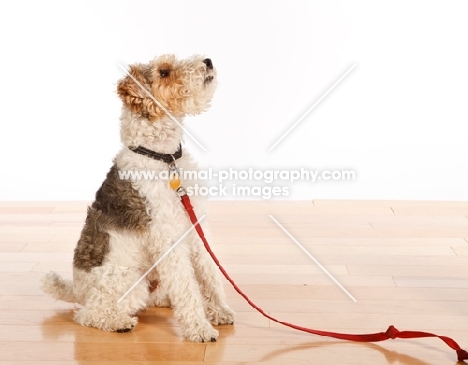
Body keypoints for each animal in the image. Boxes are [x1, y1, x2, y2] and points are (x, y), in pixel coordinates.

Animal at [41, 54, 234, 342]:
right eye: (164, 72)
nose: (208, 61)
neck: (163, 157)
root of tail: (75, 288)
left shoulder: (196, 226)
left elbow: (210, 273)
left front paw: (219, 311)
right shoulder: (168, 239)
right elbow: (187, 286)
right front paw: (199, 329)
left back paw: (163, 301)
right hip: (129, 283)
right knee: (88, 314)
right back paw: (119, 322)